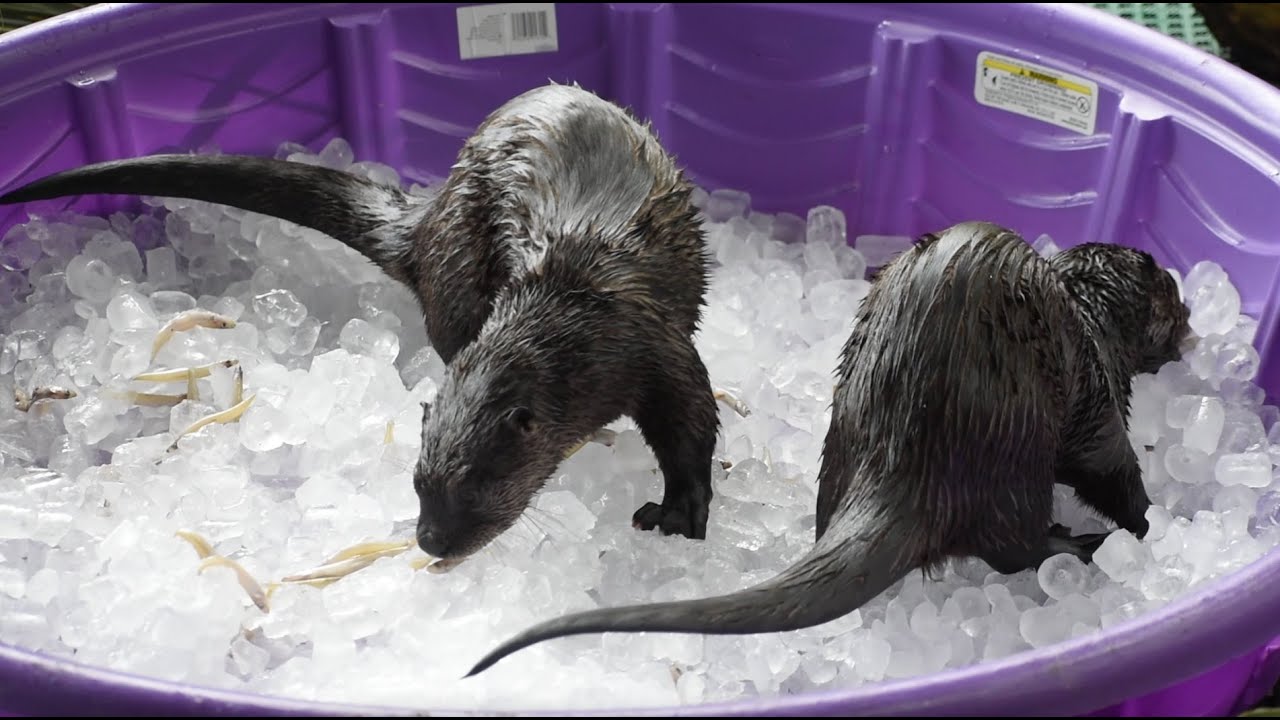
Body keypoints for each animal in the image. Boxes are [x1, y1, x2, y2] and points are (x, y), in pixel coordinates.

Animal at [0, 82, 722, 562]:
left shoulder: (653, 345)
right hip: (458, 266)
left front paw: (681, 510)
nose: (430, 539)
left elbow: (693, 421)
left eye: (476, 483)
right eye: (418, 482)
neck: (578, 313)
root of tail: (428, 221)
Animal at [463, 221, 1193, 677]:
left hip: (843, 435)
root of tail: (904, 463)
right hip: (1016, 437)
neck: (1090, 317)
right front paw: (1150, 522)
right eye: (1176, 299)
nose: (1191, 323)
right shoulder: (1096, 387)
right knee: (1014, 547)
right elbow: (1108, 463)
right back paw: (1078, 543)